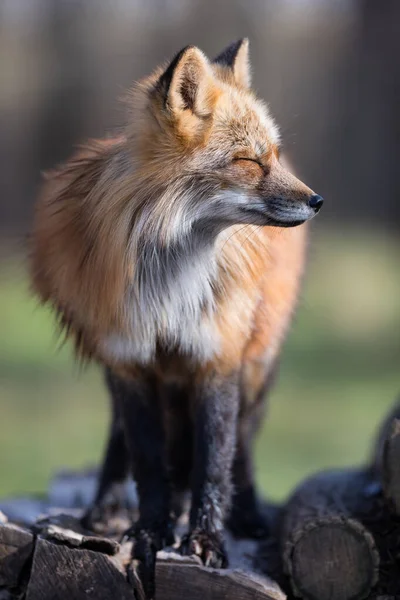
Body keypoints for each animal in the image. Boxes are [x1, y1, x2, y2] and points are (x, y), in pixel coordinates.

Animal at [29, 39, 322, 596]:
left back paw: (246, 514)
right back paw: (106, 508)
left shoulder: (217, 356)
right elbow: (147, 459)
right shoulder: (129, 361)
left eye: (272, 155)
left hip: (256, 367)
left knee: (242, 445)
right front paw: (151, 528)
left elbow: (213, 463)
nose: (318, 200)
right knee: (122, 438)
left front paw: (205, 541)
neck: (171, 284)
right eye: (248, 161)